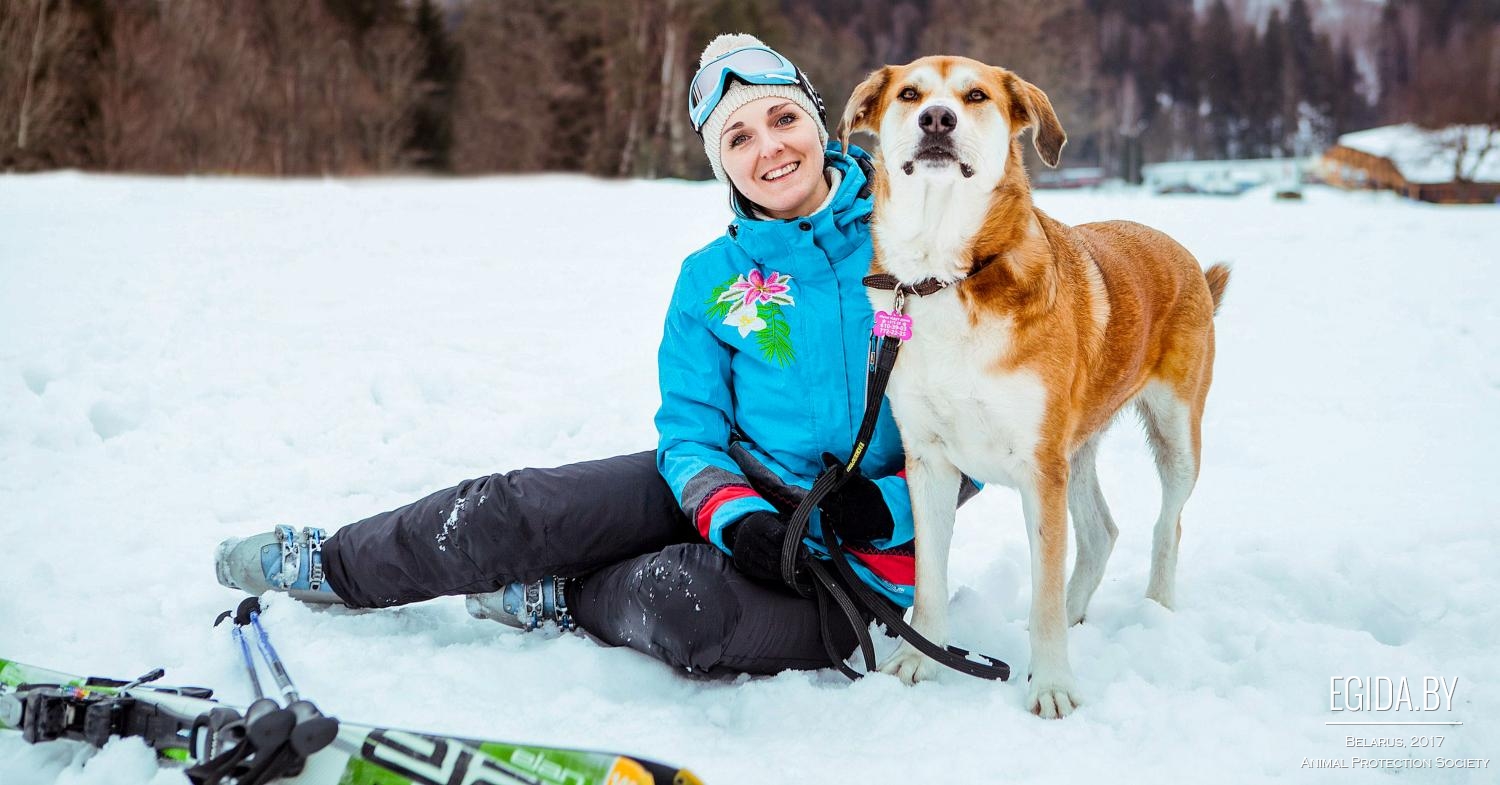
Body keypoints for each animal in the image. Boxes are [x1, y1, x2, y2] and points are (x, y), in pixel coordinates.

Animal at [838, 56, 1229, 718]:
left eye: (975, 96)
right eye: (909, 93)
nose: (936, 118)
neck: (946, 274)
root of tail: (1184, 256)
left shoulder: (1040, 467)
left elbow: (1042, 586)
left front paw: (1051, 686)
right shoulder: (930, 461)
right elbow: (930, 578)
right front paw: (920, 660)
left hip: (1174, 433)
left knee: (1166, 524)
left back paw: (1156, 611)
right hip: (1080, 446)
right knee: (1101, 533)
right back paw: (1076, 613)